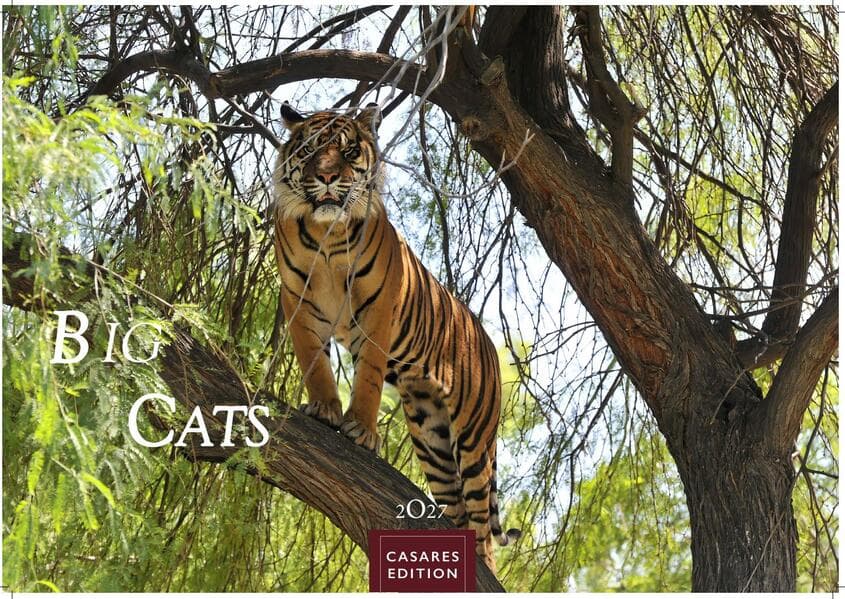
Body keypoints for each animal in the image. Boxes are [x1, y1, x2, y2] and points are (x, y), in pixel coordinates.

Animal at [271, 102, 519, 570]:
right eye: (310, 150)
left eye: (349, 151)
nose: (327, 177)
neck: (328, 235)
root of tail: (485, 338)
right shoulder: (298, 304)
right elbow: (315, 364)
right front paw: (324, 409)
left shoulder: (379, 307)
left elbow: (367, 376)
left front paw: (361, 430)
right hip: (431, 435)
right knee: (457, 508)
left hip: (475, 438)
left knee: (483, 523)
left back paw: (484, 564)